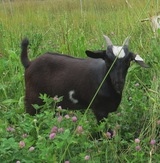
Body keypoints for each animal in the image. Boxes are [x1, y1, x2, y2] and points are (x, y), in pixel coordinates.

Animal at [20, 35, 149, 124]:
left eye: (128, 61)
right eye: (107, 60)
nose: (118, 83)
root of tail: (29, 64)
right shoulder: (99, 110)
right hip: (33, 99)